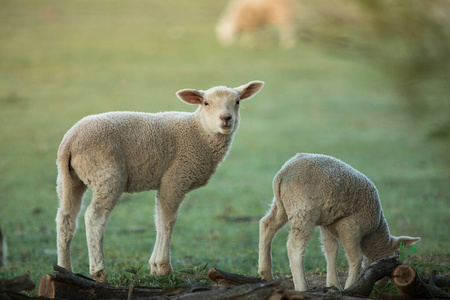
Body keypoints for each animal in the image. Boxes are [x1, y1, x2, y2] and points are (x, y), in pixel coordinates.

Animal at [58, 79, 266, 282]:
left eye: (237, 102)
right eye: (206, 103)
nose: (226, 118)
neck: (198, 132)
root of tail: (70, 141)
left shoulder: (166, 183)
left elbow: (158, 220)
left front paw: (154, 267)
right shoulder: (175, 179)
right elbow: (168, 221)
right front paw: (163, 267)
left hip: (70, 178)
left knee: (65, 218)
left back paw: (65, 269)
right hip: (106, 174)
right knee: (94, 217)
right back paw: (99, 273)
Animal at [258, 152, 420, 290]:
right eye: (394, 258)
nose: (383, 285)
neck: (373, 233)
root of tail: (283, 173)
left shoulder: (328, 223)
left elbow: (331, 250)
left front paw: (333, 284)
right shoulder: (351, 225)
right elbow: (356, 257)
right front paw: (350, 286)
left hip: (284, 204)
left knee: (267, 224)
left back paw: (266, 272)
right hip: (303, 209)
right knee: (294, 247)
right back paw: (301, 286)